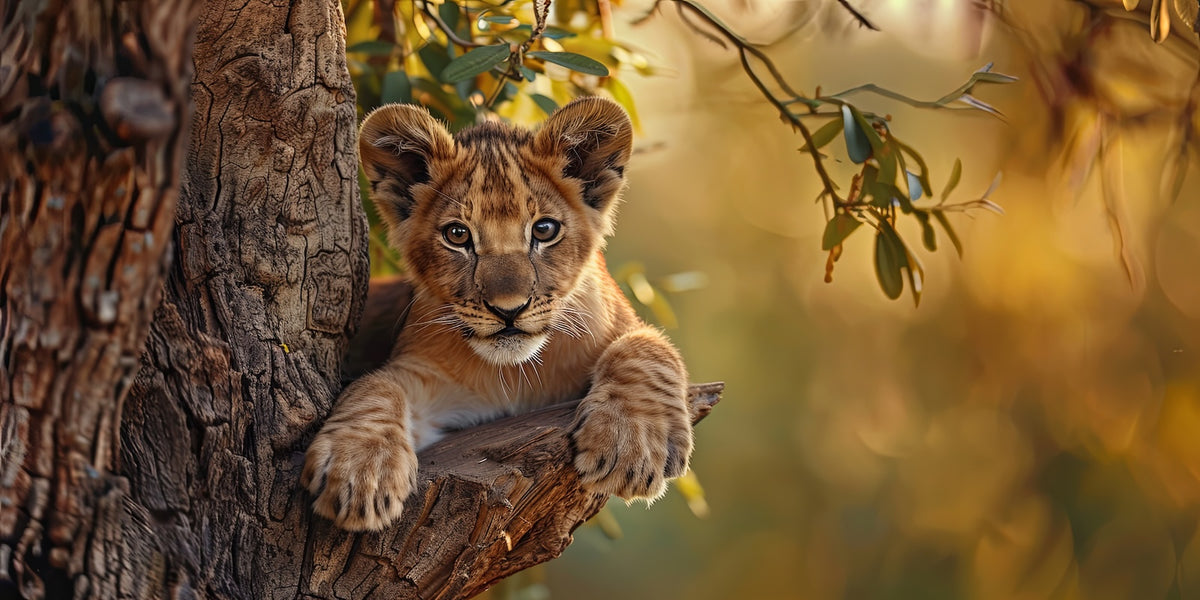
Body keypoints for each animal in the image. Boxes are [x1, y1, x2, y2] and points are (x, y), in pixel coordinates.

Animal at [301, 97, 694, 531]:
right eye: (457, 235)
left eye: (544, 230)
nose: (509, 310)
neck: (516, 374)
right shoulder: (426, 378)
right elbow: (377, 385)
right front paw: (359, 472)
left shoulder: (626, 325)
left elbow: (648, 347)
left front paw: (630, 447)